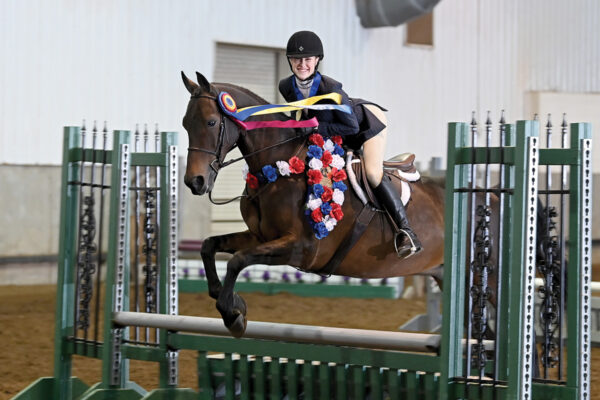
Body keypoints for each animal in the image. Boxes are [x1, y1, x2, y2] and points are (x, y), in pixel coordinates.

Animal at [180, 72, 448, 338]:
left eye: (211, 123)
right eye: (185, 124)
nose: (195, 182)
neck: (278, 168)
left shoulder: (303, 249)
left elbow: (238, 260)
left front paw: (233, 313)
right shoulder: (260, 236)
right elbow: (209, 246)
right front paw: (227, 299)